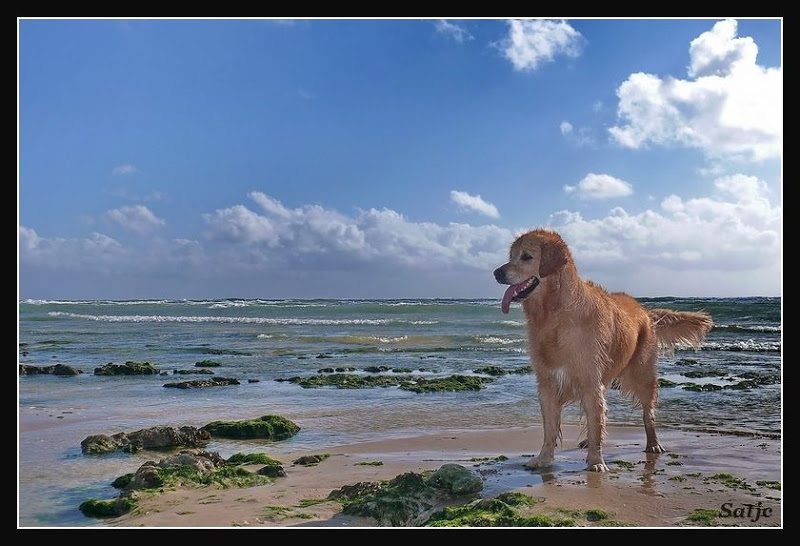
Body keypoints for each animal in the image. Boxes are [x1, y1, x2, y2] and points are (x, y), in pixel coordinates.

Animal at [494, 227, 712, 470]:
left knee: (648, 414)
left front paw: (596, 462)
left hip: (642, 375)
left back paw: (653, 443)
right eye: (511, 256)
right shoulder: (547, 383)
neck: (554, 315)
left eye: (526, 257)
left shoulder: (590, 381)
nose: (496, 273)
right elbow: (551, 429)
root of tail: (644, 311)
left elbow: (596, 421)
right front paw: (544, 458)